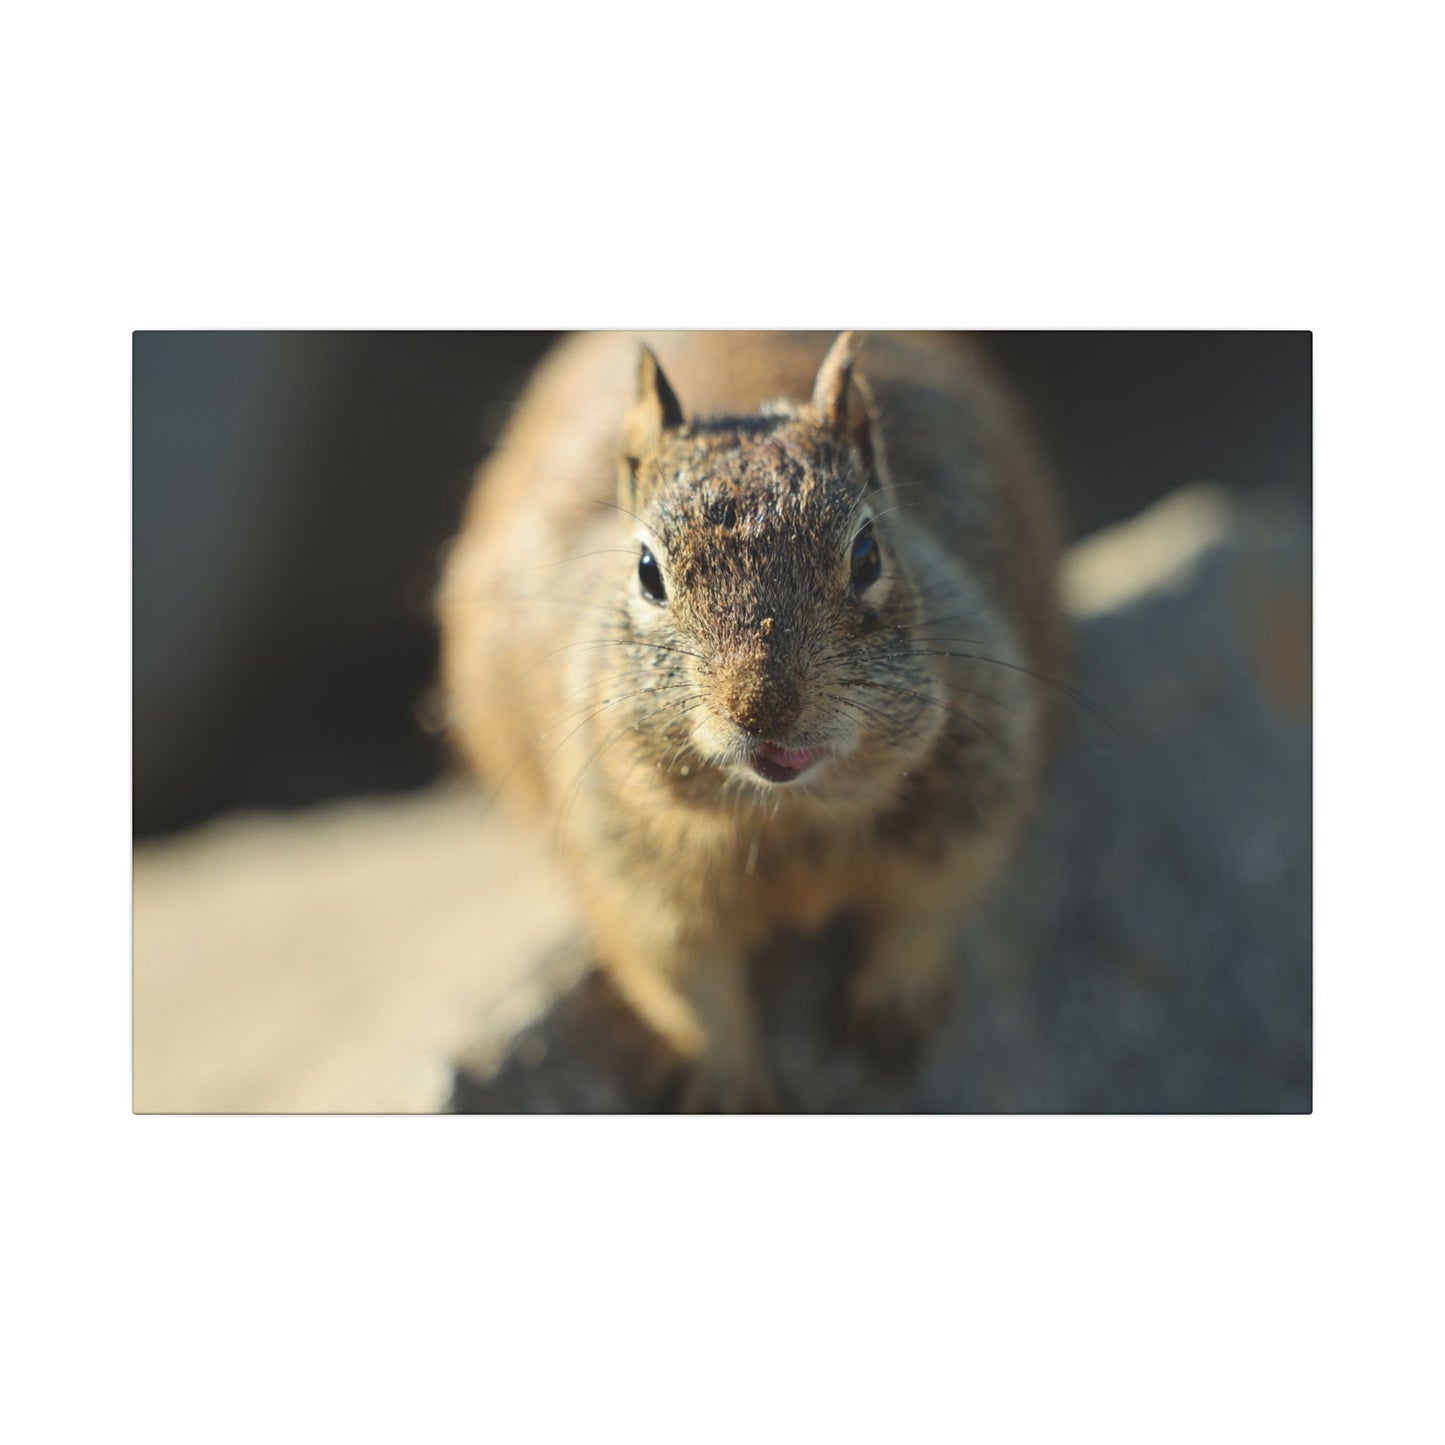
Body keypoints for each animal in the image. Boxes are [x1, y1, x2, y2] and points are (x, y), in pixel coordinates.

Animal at [438, 331, 1063, 1110]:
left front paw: (895, 1003)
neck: (791, 817)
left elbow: (926, 909)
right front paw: (728, 1087)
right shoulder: (630, 883)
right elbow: (685, 991)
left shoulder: (971, 802)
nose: (762, 707)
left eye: (868, 553)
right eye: (646, 570)